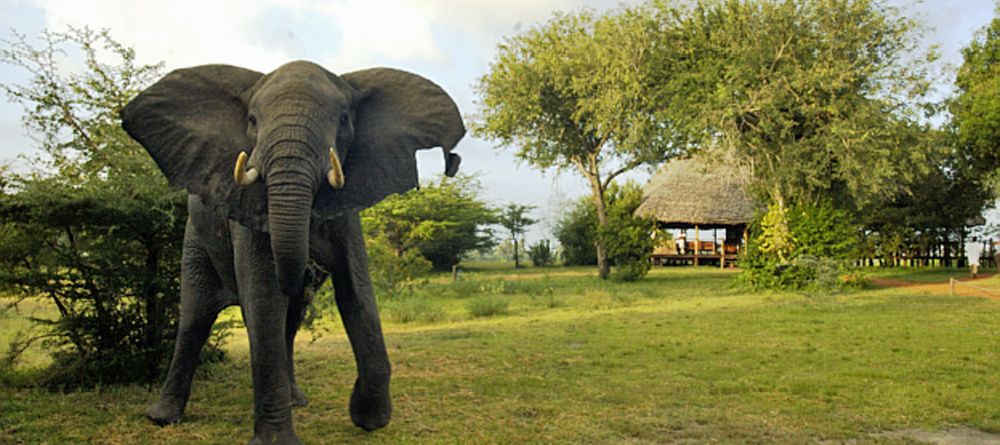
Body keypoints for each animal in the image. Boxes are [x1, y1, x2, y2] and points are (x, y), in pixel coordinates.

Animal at [120, 60, 464, 445]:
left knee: (290, 321)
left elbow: (357, 293)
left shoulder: (347, 215)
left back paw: (297, 400)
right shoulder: (249, 211)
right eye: (252, 120)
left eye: (343, 119)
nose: (452, 161)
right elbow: (263, 300)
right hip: (195, 239)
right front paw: (276, 441)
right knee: (195, 317)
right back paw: (162, 418)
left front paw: (368, 417)